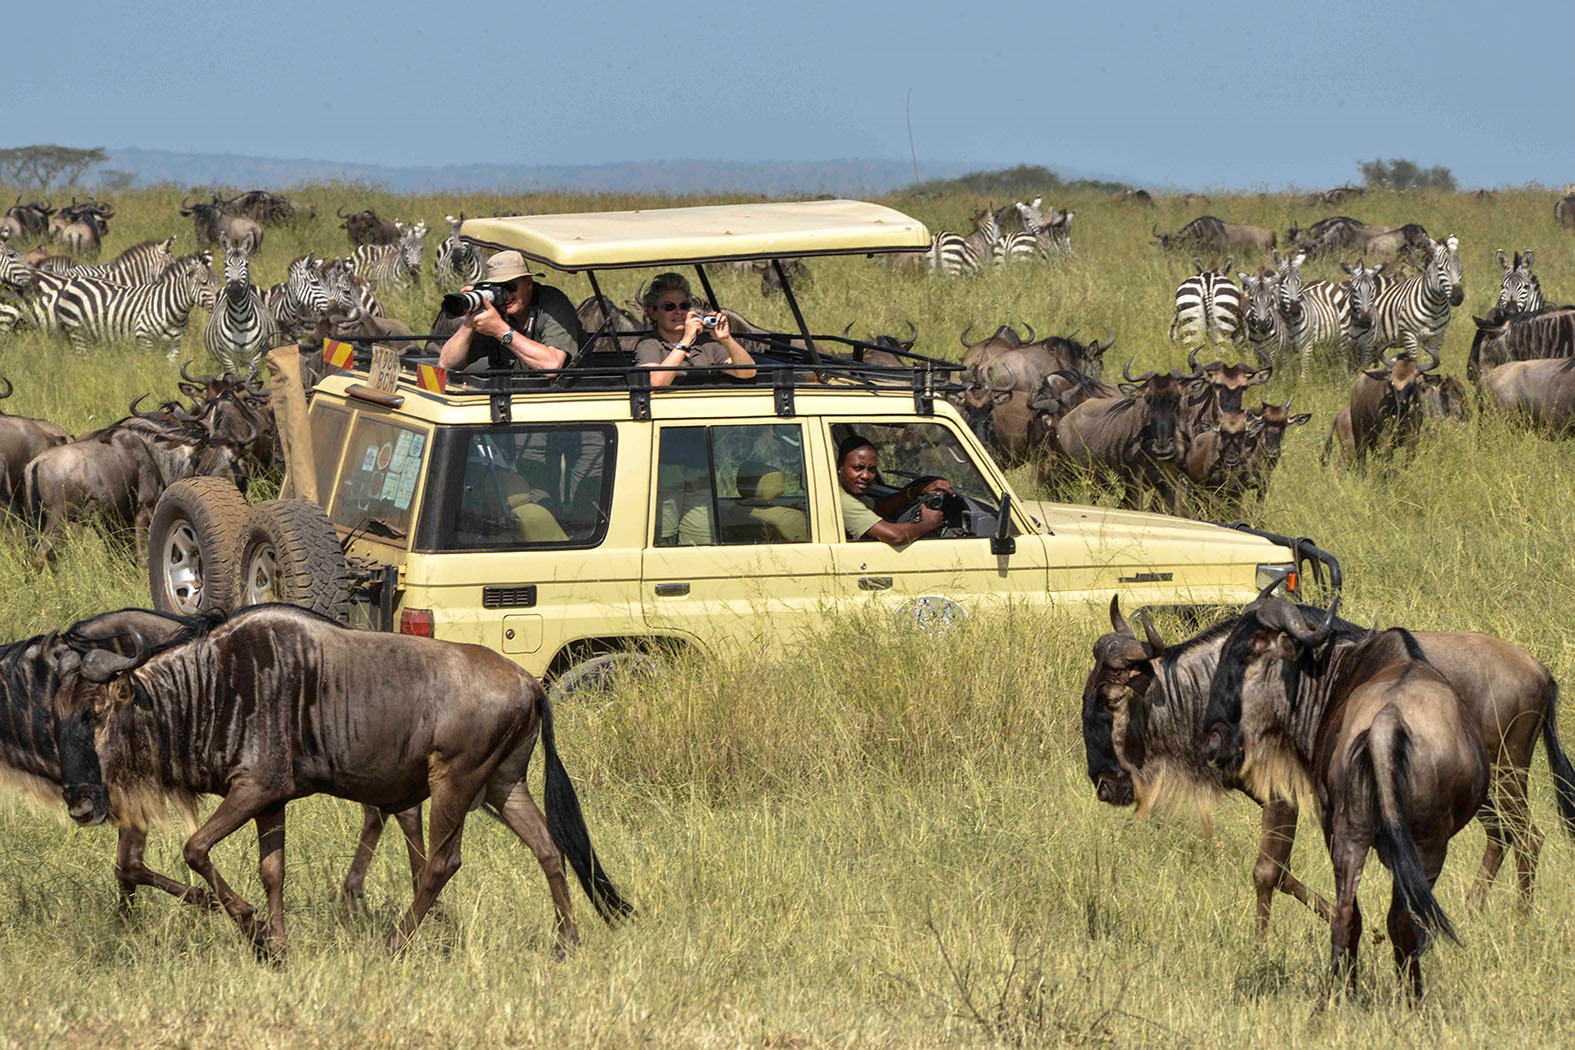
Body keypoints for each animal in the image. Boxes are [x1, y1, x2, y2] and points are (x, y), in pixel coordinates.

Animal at [53, 255, 218, 357]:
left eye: (218, 282)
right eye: (204, 283)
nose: (219, 303)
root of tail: (75, 282)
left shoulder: (174, 345)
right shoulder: (145, 340)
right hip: (77, 333)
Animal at [203, 234, 280, 377]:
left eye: (246, 264)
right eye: (225, 264)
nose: (235, 291)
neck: (240, 320)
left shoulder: (256, 356)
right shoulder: (227, 357)